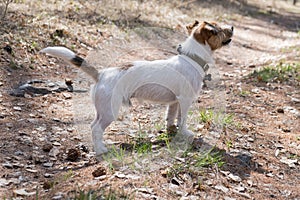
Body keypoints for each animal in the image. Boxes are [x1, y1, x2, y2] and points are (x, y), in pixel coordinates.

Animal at [41, 20, 233, 155]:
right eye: (218, 30)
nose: (232, 27)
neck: (192, 58)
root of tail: (101, 74)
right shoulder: (185, 100)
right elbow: (182, 119)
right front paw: (185, 133)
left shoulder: (174, 102)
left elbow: (171, 118)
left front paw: (171, 131)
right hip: (110, 111)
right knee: (96, 129)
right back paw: (101, 151)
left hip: (102, 109)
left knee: (93, 126)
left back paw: (99, 146)